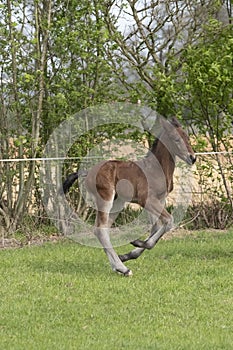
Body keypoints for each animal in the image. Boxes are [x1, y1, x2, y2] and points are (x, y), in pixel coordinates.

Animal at [62, 117, 196, 276]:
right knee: (100, 229)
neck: (156, 169)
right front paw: (137, 242)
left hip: (118, 203)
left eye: (188, 138)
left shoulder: (160, 200)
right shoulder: (147, 200)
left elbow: (156, 227)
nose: (192, 158)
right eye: (176, 139)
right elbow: (169, 221)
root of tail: (87, 172)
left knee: (104, 229)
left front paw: (128, 255)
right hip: (106, 199)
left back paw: (118, 266)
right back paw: (123, 268)